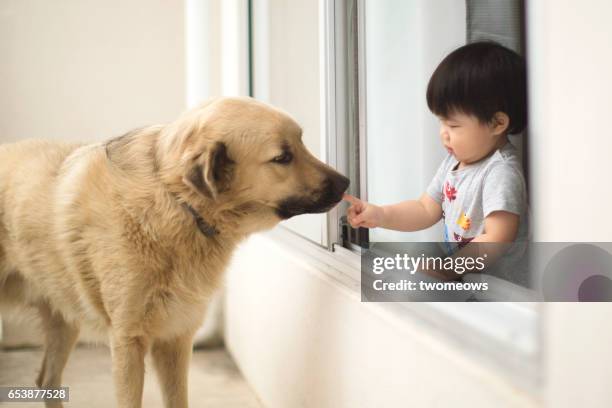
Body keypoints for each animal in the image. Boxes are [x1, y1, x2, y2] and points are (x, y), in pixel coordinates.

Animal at [0, 96, 350, 408]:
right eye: (283, 157)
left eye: (301, 144)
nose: (347, 183)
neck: (176, 201)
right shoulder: (128, 342)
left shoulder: (176, 340)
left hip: (64, 320)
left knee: (46, 380)